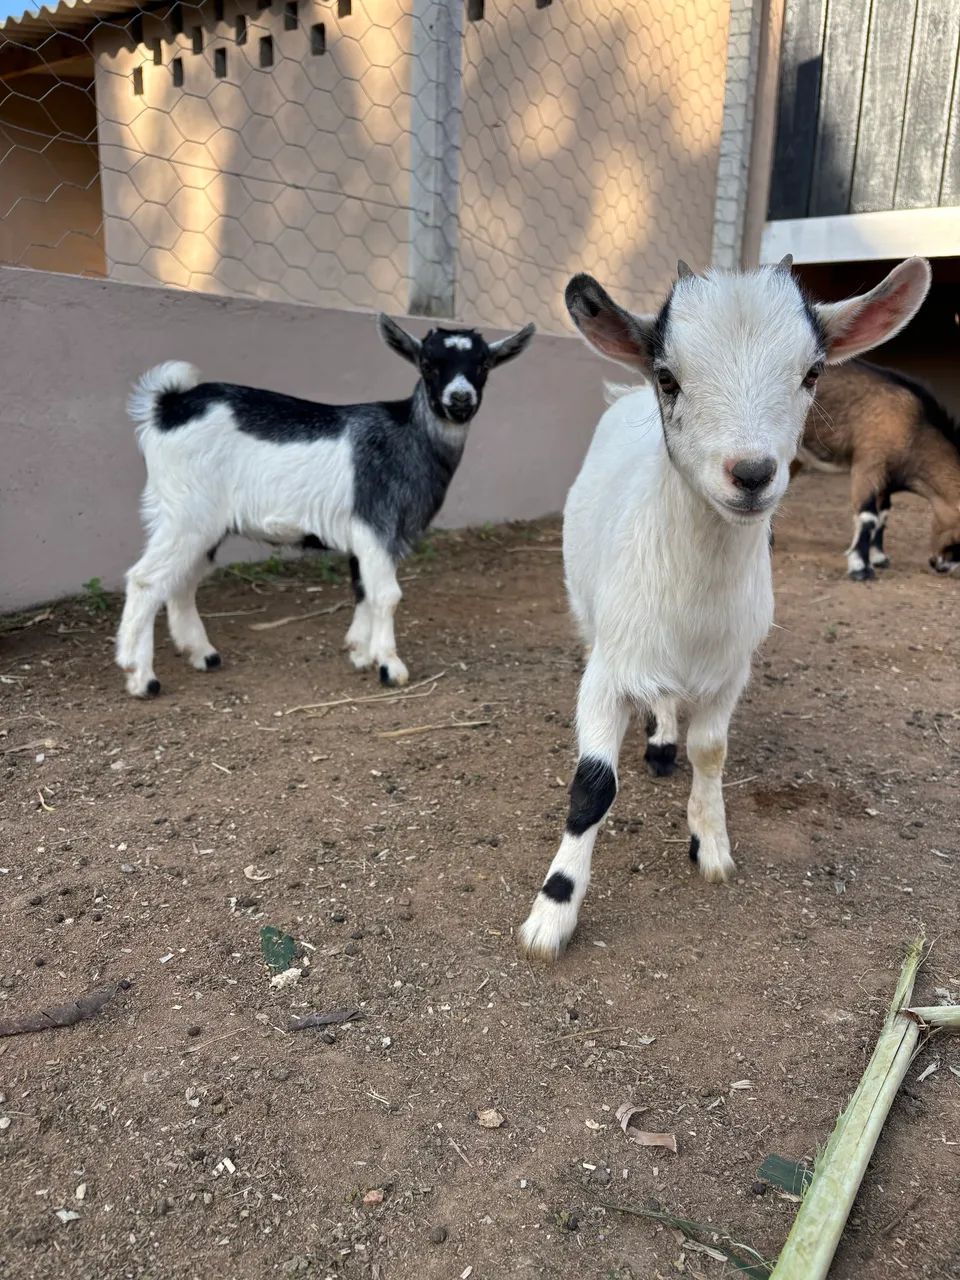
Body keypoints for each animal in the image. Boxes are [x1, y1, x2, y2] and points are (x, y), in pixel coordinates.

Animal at [116, 315, 534, 698]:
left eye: (483, 366)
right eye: (429, 364)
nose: (460, 400)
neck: (408, 437)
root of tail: (168, 406)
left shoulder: (376, 537)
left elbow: (363, 588)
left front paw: (361, 653)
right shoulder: (376, 524)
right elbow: (387, 594)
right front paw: (390, 666)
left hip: (198, 521)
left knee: (182, 580)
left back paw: (202, 654)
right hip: (187, 513)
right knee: (146, 579)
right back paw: (141, 677)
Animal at [519, 255, 930, 960]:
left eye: (812, 372)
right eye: (669, 377)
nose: (752, 473)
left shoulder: (731, 670)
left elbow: (711, 752)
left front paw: (709, 844)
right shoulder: (607, 668)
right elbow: (593, 785)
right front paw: (552, 913)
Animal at [797, 359, 960, 578]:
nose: (941, 565)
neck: (914, 430)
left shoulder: (885, 482)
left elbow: (882, 515)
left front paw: (878, 558)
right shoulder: (868, 466)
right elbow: (868, 517)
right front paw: (860, 568)